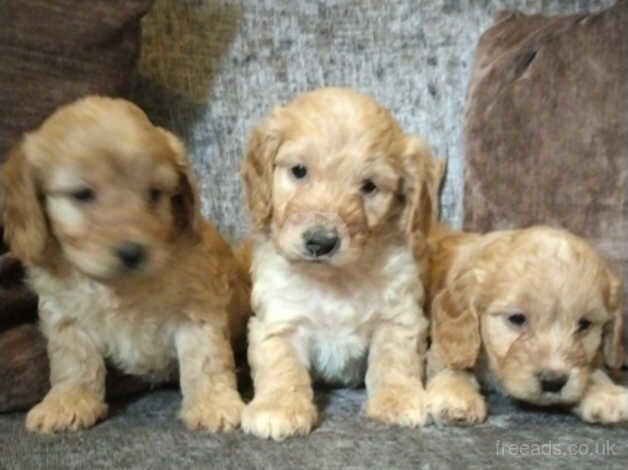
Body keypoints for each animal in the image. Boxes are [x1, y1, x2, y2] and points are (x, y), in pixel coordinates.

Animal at [3, 95, 253, 434]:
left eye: (155, 193)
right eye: (82, 194)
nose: (132, 252)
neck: (121, 286)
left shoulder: (198, 307)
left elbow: (205, 359)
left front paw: (213, 403)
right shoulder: (65, 315)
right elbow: (73, 361)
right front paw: (68, 401)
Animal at [238, 85, 434, 440]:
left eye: (369, 186)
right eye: (299, 171)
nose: (320, 242)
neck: (334, 278)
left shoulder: (398, 317)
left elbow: (394, 359)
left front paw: (398, 399)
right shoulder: (279, 320)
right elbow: (282, 365)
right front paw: (279, 407)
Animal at [424, 224, 624, 426]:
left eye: (584, 324)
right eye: (517, 318)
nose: (553, 382)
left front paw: (604, 391)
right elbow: (451, 362)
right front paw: (456, 394)